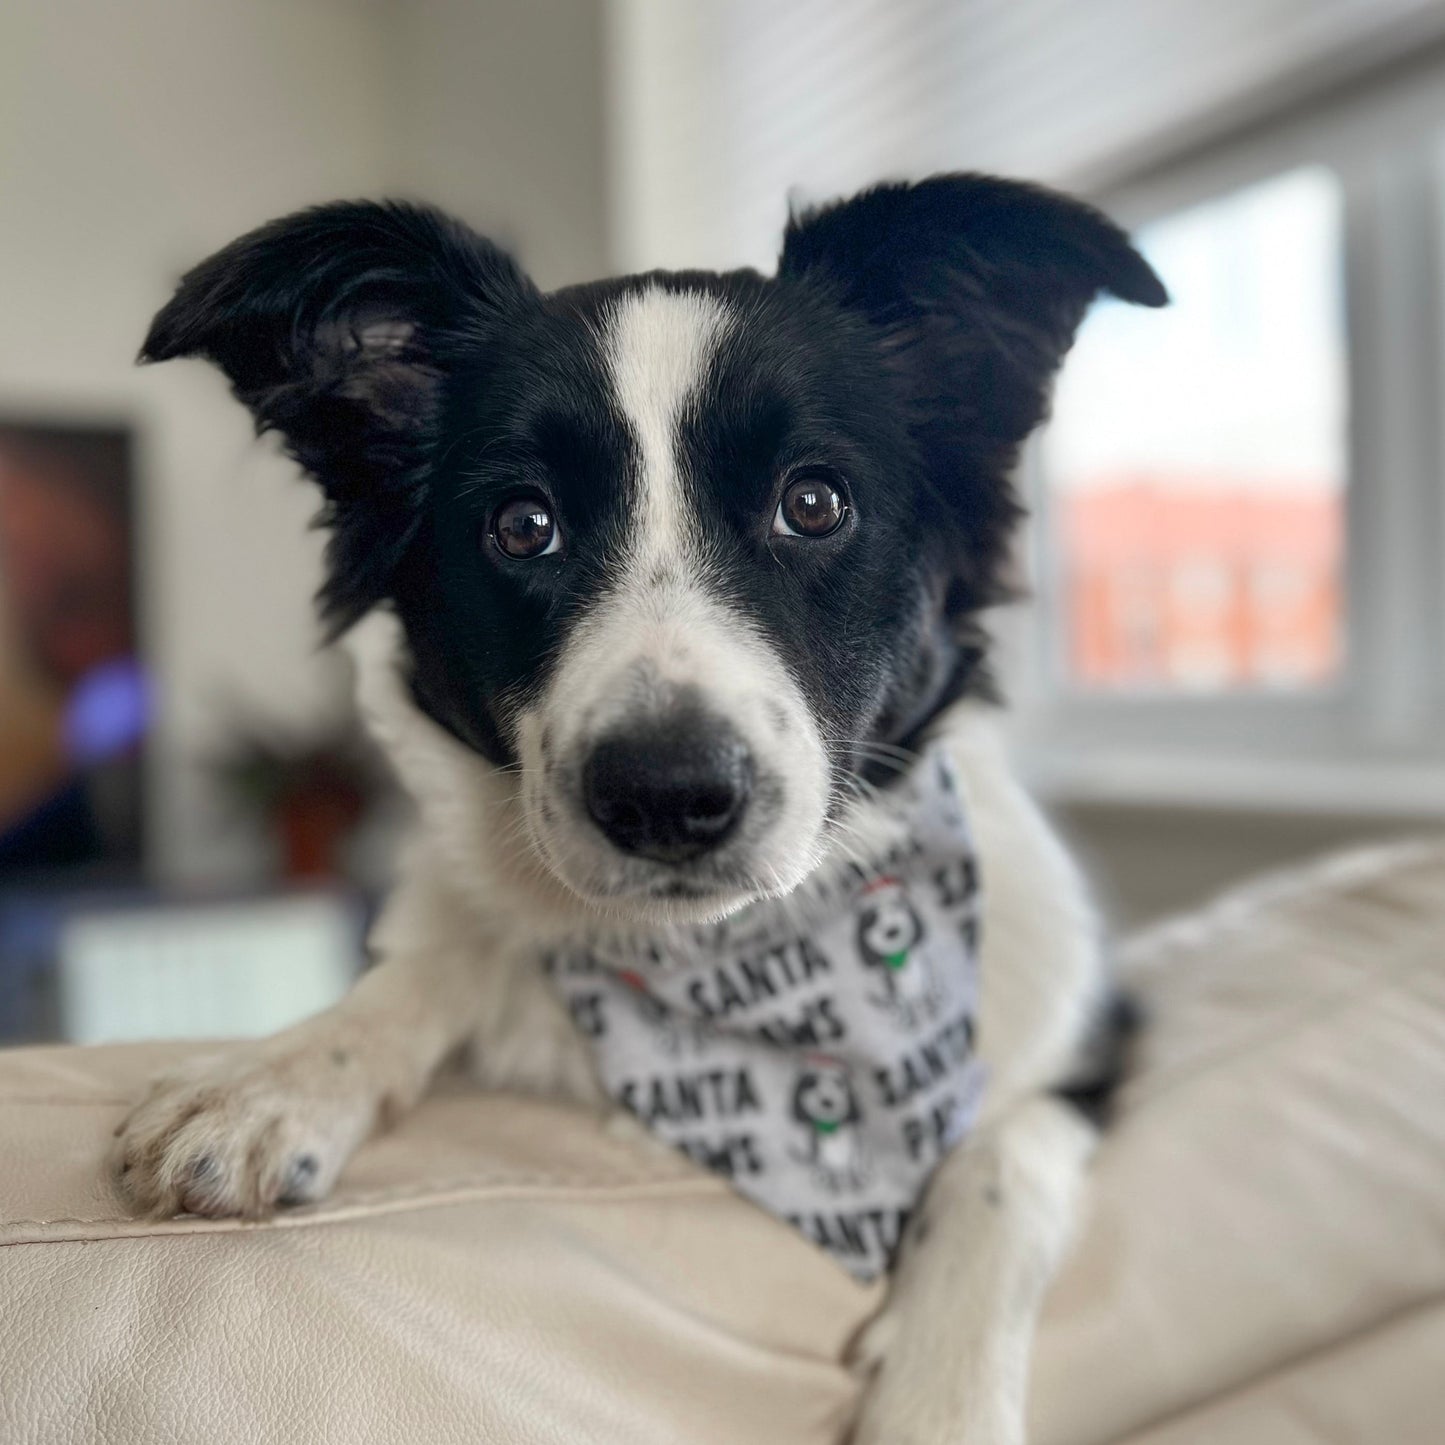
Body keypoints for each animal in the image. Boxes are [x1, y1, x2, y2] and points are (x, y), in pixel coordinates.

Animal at [118, 177, 1167, 1445]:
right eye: (522, 525)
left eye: (813, 502)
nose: (668, 795)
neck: (721, 965)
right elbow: (426, 968)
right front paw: (274, 1078)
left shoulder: (1092, 1025)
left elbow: (1002, 1154)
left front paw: (940, 1402)